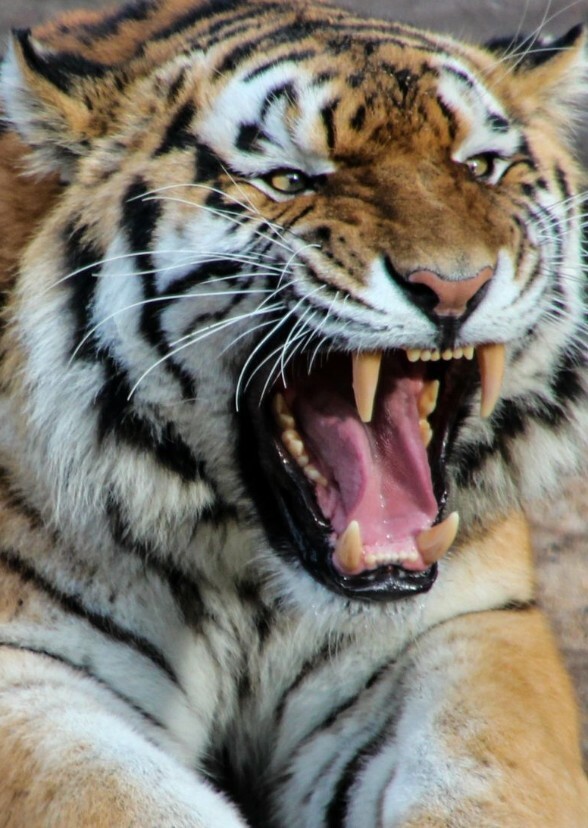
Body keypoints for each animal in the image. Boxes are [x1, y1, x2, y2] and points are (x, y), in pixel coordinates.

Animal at [0, 0, 586, 825]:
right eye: (290, 180)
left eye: (479, 167)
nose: (454, 286)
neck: (255, 583)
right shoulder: (28, 669)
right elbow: (120, 797)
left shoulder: (468, 625)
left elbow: (486, 776)